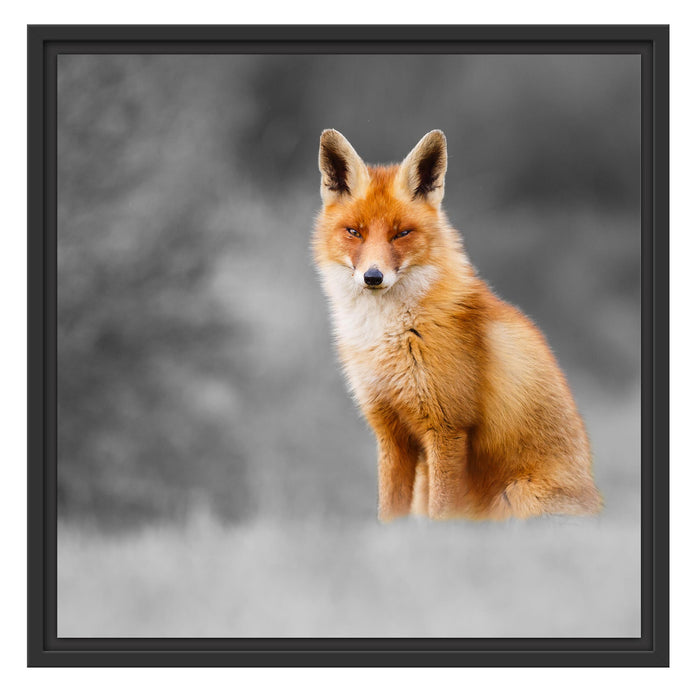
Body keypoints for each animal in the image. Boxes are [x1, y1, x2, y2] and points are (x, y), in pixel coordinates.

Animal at [313, 128, 602, 522]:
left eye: (401, 233)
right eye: (354, 232)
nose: (373, 277)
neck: (389, 336)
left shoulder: (447, 428)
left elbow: (442, 516)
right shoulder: (390, 433)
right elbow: (388, 515)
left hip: (516, 497)